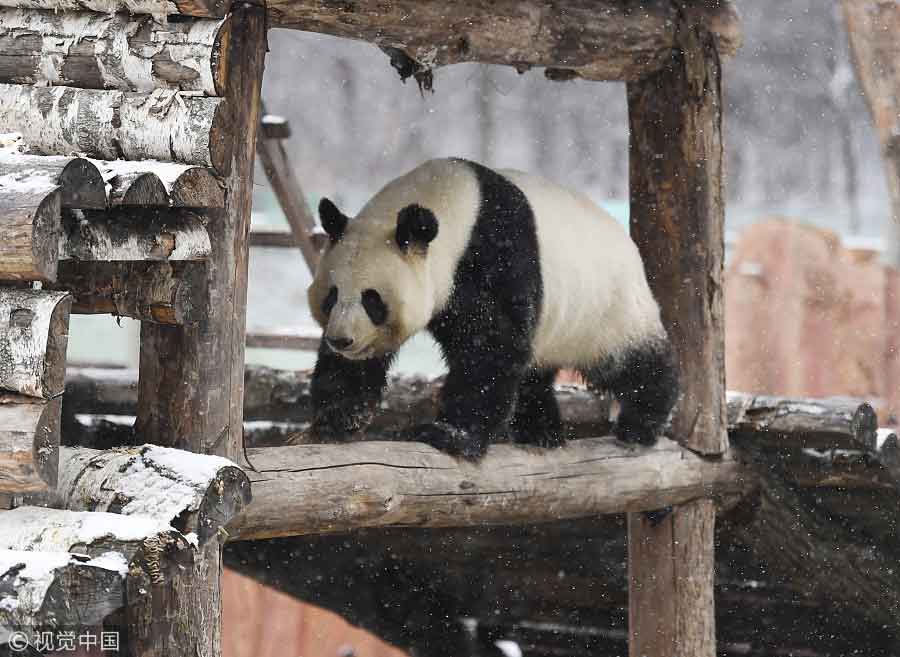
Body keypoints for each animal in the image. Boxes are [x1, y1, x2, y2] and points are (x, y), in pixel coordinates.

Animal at [307, 157, 679, 458]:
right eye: (331, 296)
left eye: (372, 299)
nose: (342, 340)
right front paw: (336, 420)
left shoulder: (495, 255)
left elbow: (491, 347)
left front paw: (448, 435)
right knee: (533, 374)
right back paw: (541, 433)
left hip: (608, 306)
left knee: (633, 362)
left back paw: (641, 425)